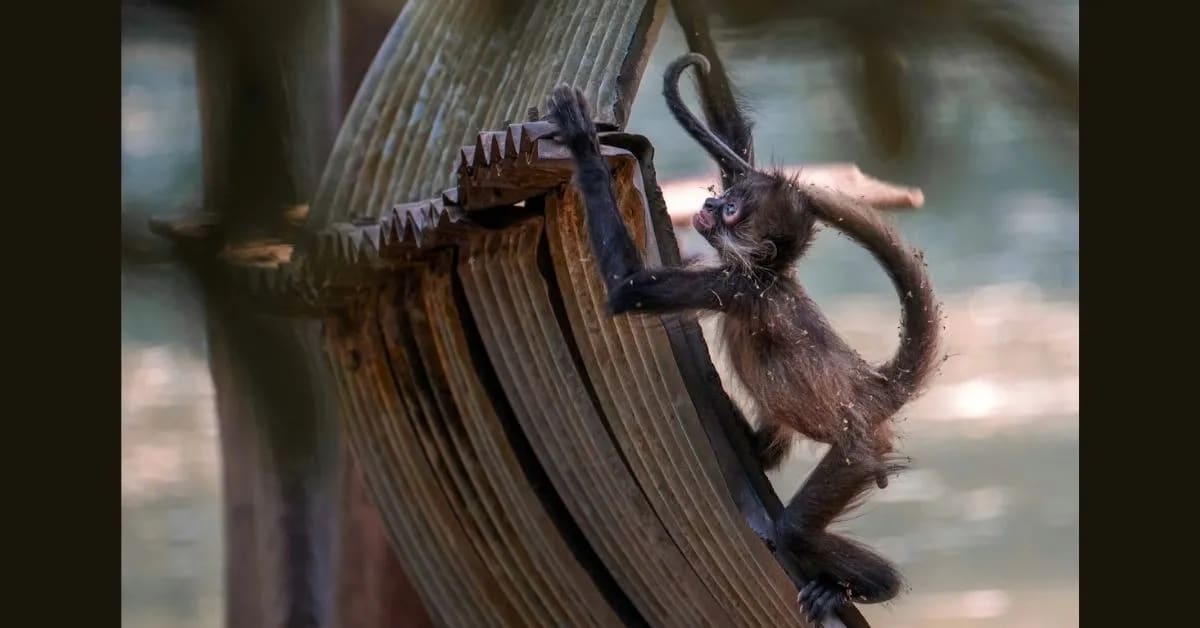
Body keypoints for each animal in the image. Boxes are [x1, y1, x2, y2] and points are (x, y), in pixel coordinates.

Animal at [545, 53, 941, 625]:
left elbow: (628, 289)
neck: (767, 273)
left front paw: (582, 143)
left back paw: (875, 585)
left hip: (858, 452)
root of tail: (873, 385)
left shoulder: (736, 287)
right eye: (727, 197)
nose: (713, 208)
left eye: (732, 211)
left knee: (793, 529)